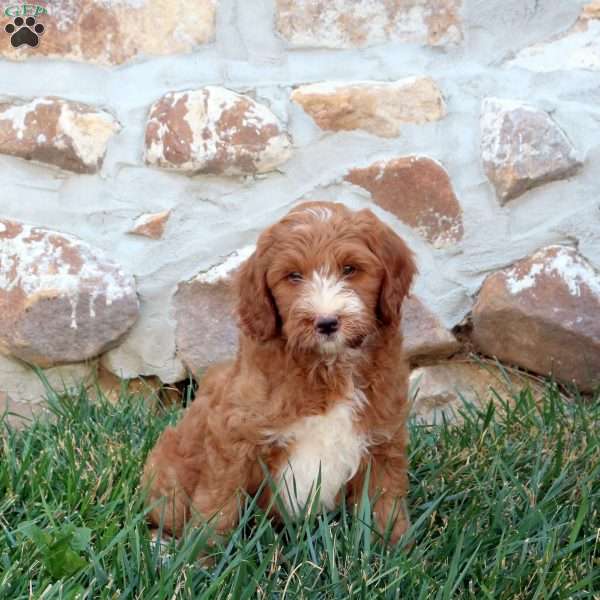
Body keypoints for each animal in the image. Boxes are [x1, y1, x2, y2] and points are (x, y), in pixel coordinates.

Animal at [144, 202, 418, 544]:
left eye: (350, 269)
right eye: (294, 276)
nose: (327, 322)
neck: (328, 367)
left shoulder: (383, 439)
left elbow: (385, 501)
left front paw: (394, 549)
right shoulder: (235, 436)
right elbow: (218, 504)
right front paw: (202, 554)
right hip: (168, 475)